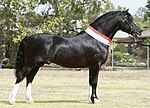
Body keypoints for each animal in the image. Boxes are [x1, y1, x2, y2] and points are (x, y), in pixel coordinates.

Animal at [8, 9, 141, 104]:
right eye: (129, 20)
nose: (139, 31)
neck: (95, 39)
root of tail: (28, 37)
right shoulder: (96, 65)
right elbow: (95, 82)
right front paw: (95, 99)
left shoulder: (91, 66)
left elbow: (90, 81)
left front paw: (90, 99)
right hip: (31, 64)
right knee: (21, 76)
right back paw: (12, 100)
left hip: (37, 65)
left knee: (29, 78)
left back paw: (30, 99)